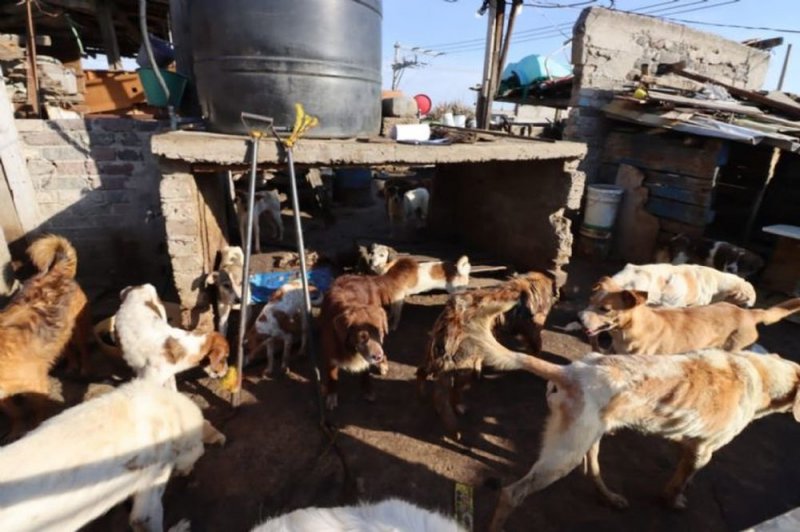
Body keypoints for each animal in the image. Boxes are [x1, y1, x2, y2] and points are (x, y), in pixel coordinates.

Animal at [0, 235, 91, 438]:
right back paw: (71, 366)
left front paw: (35, 428)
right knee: (67, 350)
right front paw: (15, 430)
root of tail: (56, 273)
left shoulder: (36, 386)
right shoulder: (4, 397)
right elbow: (14, 413)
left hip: (78, 329)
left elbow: (37, 410)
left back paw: (83, 369)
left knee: (82, 348)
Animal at [417, 272, 557, 437]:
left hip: (434, 355)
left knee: (421, 372)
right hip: (462, 366)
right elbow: (536, 350)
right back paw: (459, 407)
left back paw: (422, 394)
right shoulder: (533, 332)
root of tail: (453, 318)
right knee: (452, 392)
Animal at [489, 349, 800, 530]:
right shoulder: (705, 449)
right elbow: (679, 483)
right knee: (511, 493)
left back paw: (611, 497)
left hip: (590, 438)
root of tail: (570, 371)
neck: (760, 374)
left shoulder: (689, 444)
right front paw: (673, 501)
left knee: (591, 470)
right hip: (563, 456)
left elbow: (682, 472)